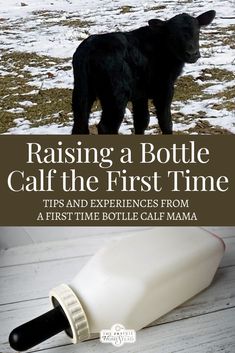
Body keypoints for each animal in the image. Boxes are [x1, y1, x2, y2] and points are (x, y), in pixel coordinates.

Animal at [71, 10, 215, 135]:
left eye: (197, 31)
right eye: (173, 35)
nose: (192, 54)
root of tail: (89, 48)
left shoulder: (140, 94)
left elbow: (142, 121)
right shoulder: (164, 88)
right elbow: (165, 121)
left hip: (82, 91)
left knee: (80, 124)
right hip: (115, 95)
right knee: (106, 126)